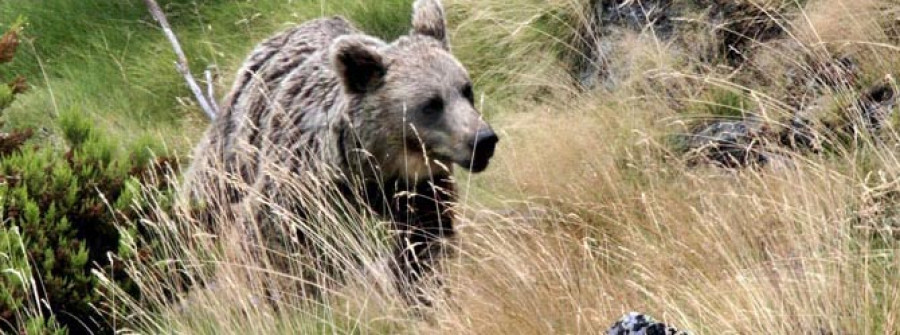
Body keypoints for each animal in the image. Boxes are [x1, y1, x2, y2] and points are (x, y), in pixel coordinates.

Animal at [185, 0, 500, 304]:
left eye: (466, 89)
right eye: (431, 104)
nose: (483, 140)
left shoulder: (418, 191)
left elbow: (422, 244)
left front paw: (423, 292)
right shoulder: (300, 191)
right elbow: (275, 247)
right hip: (231, 152)